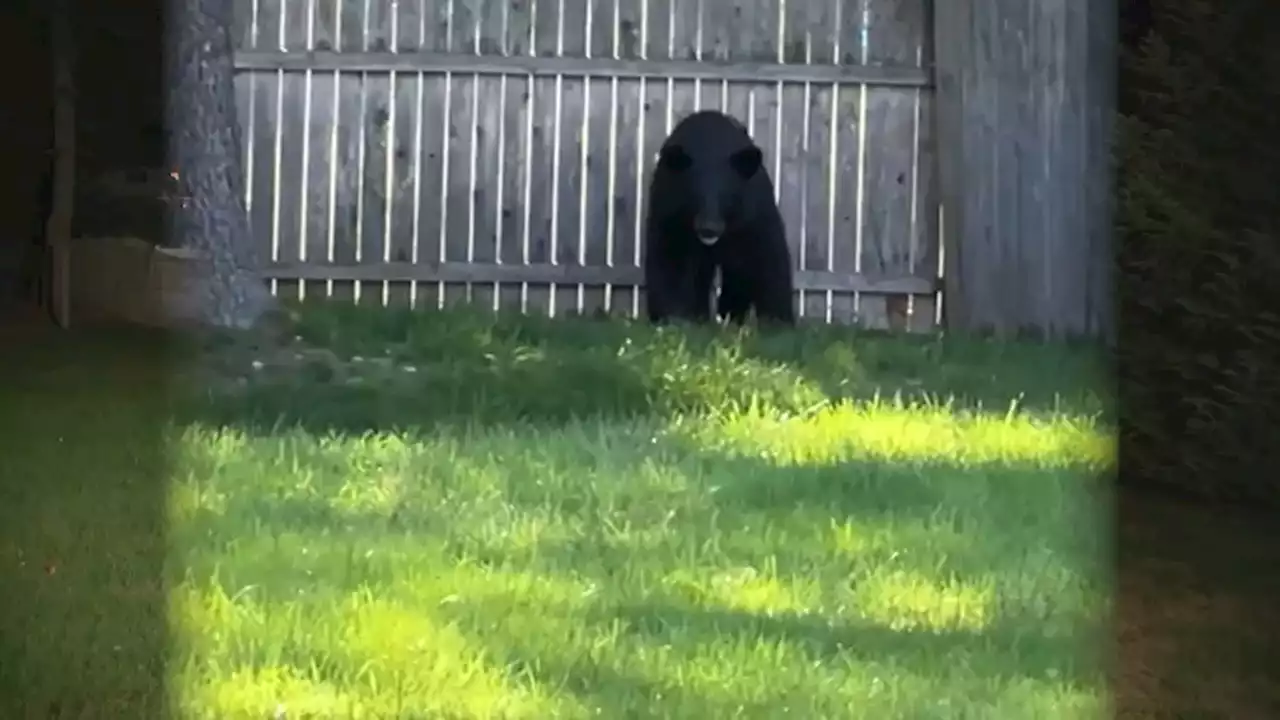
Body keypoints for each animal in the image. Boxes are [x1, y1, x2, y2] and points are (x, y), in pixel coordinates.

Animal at [645, 109, 793, 325]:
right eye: (693, 196)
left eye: (727, 197)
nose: (709, 228)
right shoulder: (671, 215)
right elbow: (670, 260)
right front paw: (675, 317)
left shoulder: (751, 214)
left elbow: (768, 258)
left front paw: (777, 319)